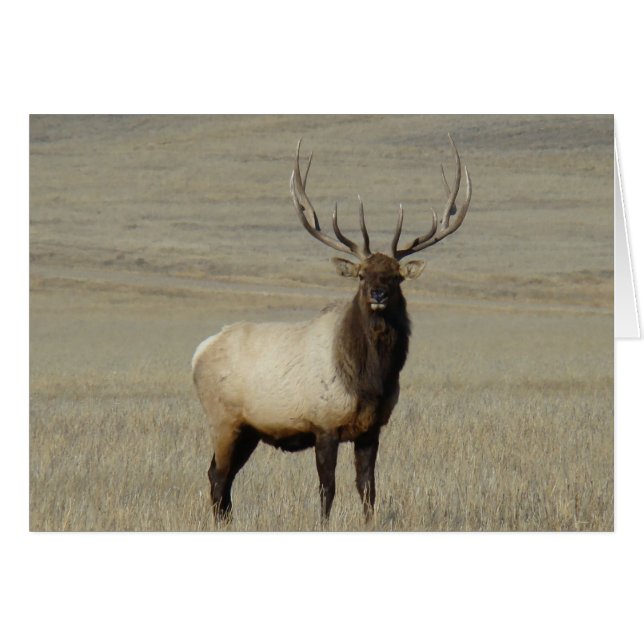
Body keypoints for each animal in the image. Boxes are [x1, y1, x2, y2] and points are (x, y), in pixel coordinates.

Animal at [192, 135, 471, 525]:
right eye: (361, 275)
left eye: (396, 276)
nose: (378, 294)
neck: (370, 380)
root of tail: (198, 352)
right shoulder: (323, 425)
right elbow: (328, 490)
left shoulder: (371, 429)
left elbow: (368, 489)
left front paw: (369, 525)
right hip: (223, 420)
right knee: (217, 476)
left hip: (248, 430)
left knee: (223, 478)